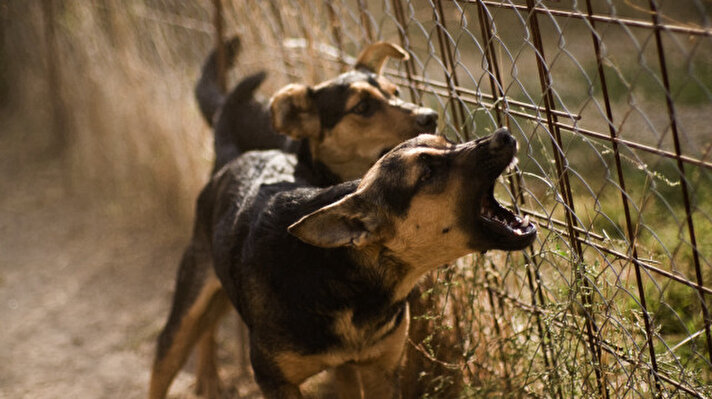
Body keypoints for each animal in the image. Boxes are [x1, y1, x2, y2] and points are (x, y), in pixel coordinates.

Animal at [147, 39, 440, 396]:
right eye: (362, 107)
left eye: (395, 91)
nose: (430, 116)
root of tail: (231, 152)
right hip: (195, 281)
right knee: (174, 346)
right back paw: (206, 375)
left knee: (210, 320)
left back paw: (209, 375)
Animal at [152, 130, 540, 398]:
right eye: (428, 172)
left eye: (448, 141)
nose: (504, 134)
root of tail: (235, 157)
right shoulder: (275, 381)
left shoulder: (380, 369)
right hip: (184, 311)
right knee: (166, 359)